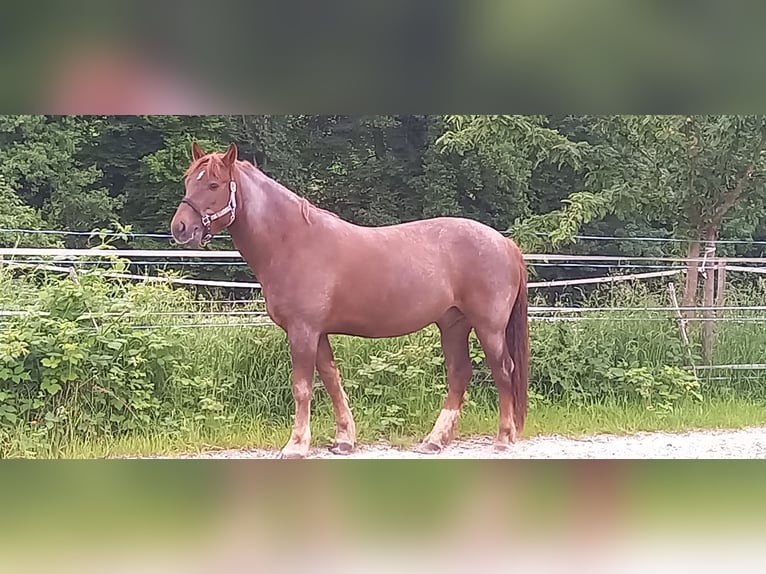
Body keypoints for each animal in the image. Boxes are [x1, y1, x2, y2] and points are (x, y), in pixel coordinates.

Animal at [171, 143, 532, 460]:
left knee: (503, 371)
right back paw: (434, 440)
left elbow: (302, 386)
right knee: (460, 373)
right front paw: (344, 440)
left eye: (214, 184)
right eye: (188, 181)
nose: (180, 228)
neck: (292, 242)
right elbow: (332, 379)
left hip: (488, 328)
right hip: (453, 323)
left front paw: (296, 445)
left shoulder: (303, 331)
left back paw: (503, 438)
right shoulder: (317, 332)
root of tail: (505, 243)